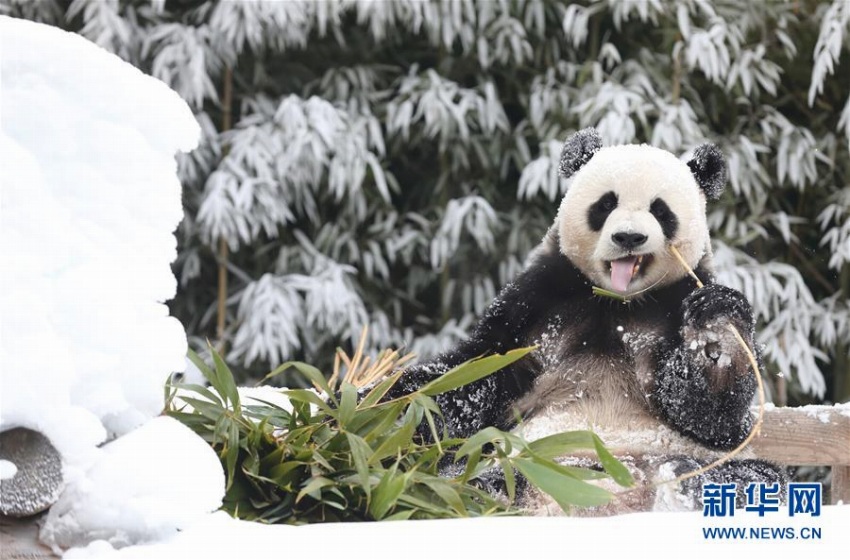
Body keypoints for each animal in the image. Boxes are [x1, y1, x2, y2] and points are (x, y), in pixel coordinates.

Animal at [384, 129, 780, 516]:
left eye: (660, 210)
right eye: (606, 204)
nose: (629, 237)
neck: (618, 301)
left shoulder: (676, 298)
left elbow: (708, 416)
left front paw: (716, 337)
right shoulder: (540, 299)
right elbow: (477, 376)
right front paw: (390, 405)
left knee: (749, 476)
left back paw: (679, 483)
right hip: (512, 454)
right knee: (463, 476)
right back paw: (485, 490)